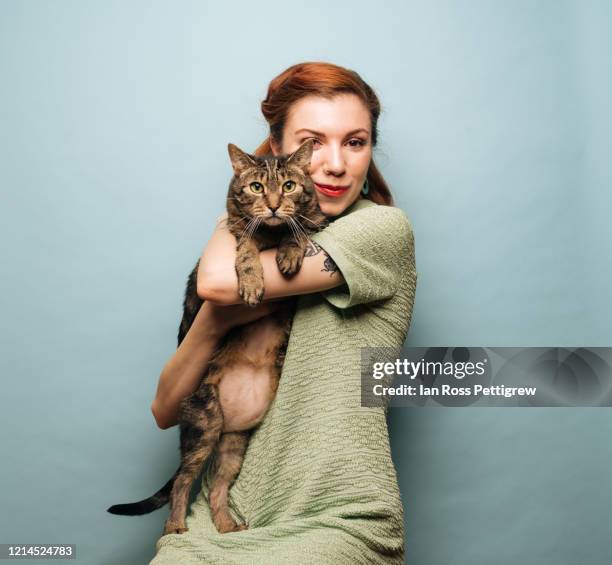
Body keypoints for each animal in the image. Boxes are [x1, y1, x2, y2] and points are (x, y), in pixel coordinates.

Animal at [109, 140, 330, 532]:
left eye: (289, 186)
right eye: (256, 187)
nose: (274, 205)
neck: (272, 234)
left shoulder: (313, 224)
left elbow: (299, 231)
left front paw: (290, 251)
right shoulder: (237, 233)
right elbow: (247, 250)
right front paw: (253, 280)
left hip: (232, 444)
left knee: (218, 484)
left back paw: (227, 526)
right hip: (205, 425)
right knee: (183, 480)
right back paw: (175, 526)